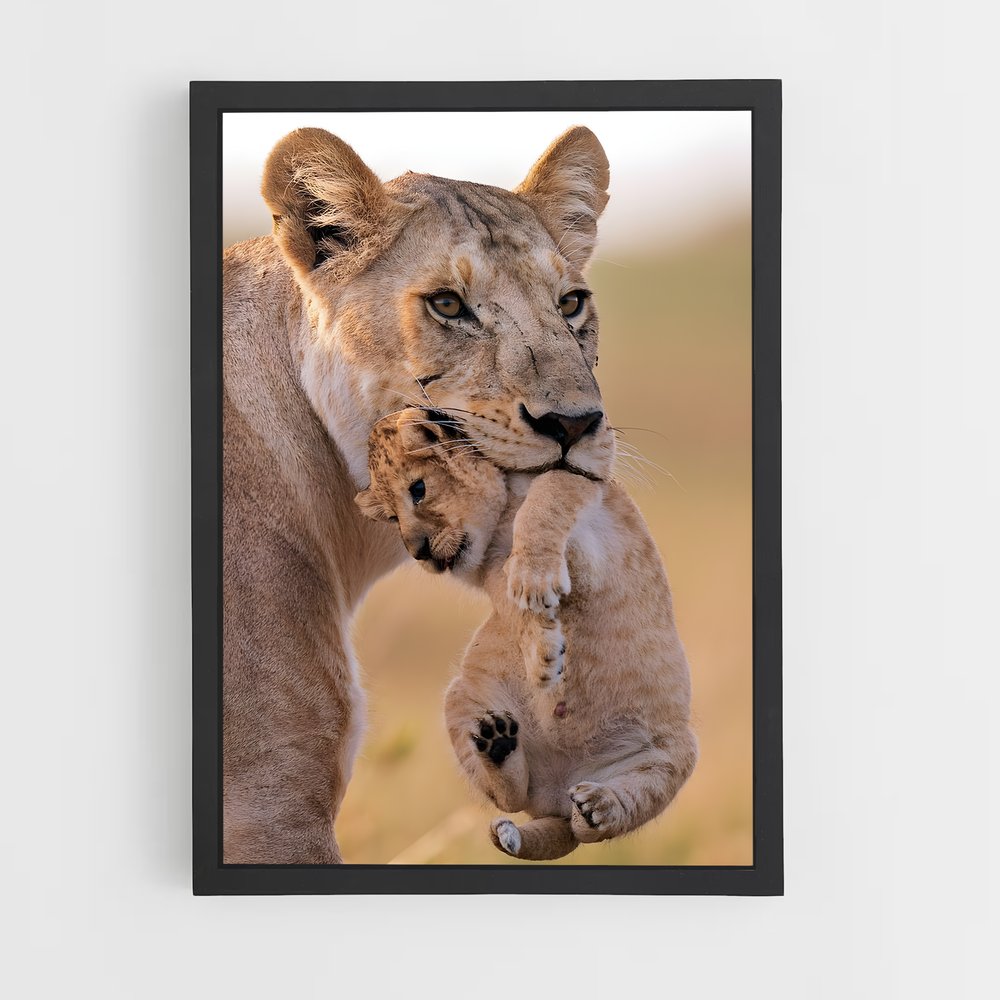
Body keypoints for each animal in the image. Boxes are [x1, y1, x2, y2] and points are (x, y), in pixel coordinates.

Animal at [356, 408, 697, 860]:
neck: (497, 527)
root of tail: (556, 797)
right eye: (392, 518)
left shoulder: (585, 498)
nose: (418, 552)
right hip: (459, 698)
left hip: (673, 756)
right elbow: (515, 607)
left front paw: (535, 585)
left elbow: (547, 497)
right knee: (513, 798)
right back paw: (498, 745)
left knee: (603, 820)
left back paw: (598, 807)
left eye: (418, 490)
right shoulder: (494, 579)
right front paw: (544, 654)